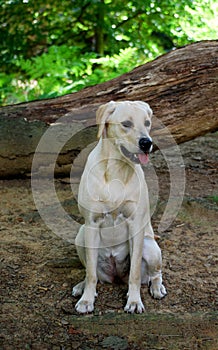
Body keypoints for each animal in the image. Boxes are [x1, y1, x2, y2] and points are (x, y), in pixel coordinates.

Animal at [72, 100, 166, 314]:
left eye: (147, 123)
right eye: (126, 124)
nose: (147, 143)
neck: (116, 168)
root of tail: (116, 277)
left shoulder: (135, 225)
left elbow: (135, 274)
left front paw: (134, 301)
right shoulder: (91, 224)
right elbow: (90, 273)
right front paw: (86, 300)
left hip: (150, 246)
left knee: (155, 274)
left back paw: (157, 287)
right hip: (80, 236)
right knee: (92, 273)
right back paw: (81, 286)